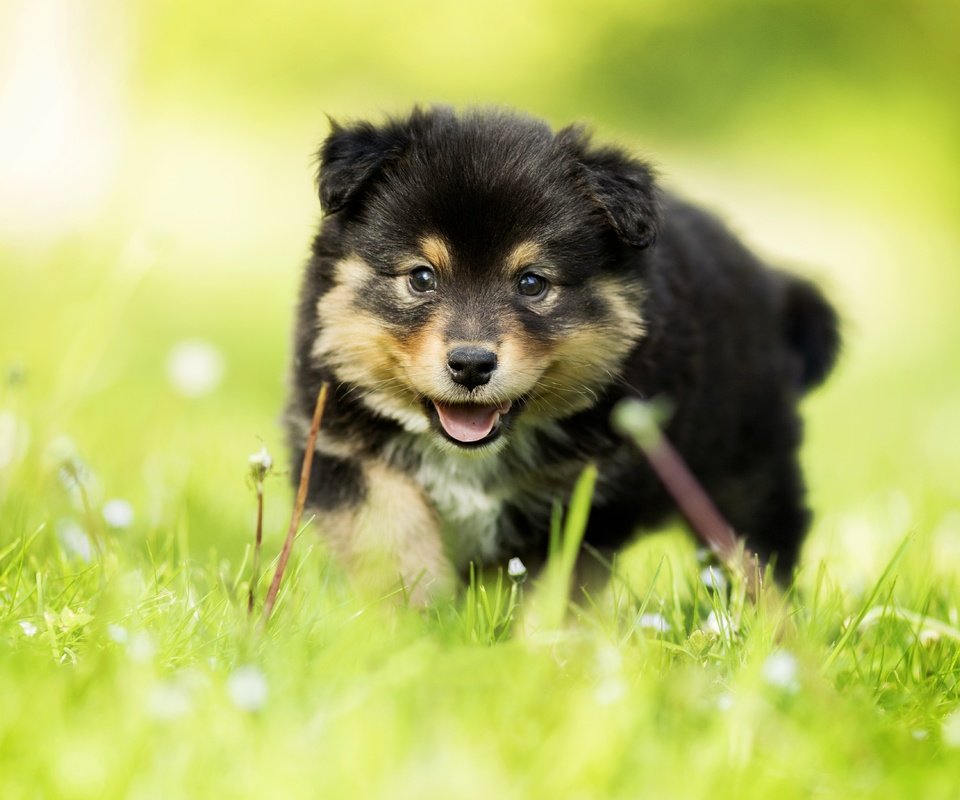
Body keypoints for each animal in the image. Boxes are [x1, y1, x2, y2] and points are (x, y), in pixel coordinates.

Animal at [284, 104, 840, 600]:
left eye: (532, 283)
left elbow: (555, 590)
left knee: (760, 548)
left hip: (748, 472)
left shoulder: (591, 492)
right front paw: (414, 619)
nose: (471, 365)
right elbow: (389, 532)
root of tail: (773, 285)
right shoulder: (335, 441)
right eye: (421, 277)